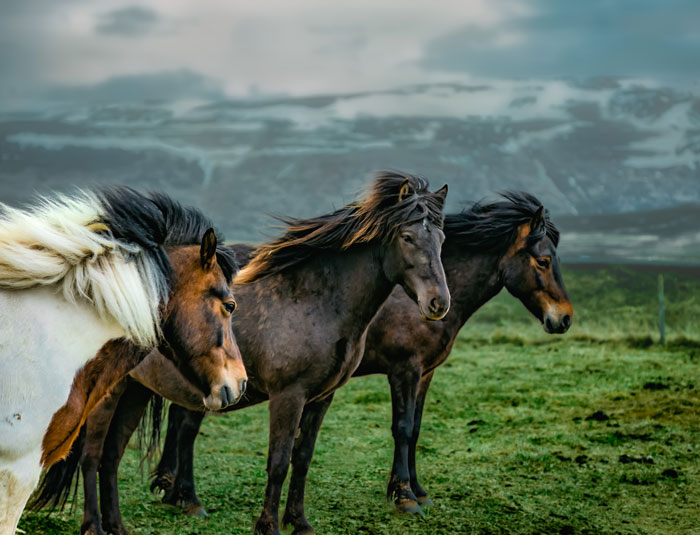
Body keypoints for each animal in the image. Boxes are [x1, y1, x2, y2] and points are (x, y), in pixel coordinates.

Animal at [32, 171, 450, 535]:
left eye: (442, 239)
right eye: (408, 237)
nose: (438, 303)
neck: (316, 300)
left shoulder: (321, 398)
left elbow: (303, 459)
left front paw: (299, 522)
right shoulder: (288, 396)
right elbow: (279, 462)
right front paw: (268, 526)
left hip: (135, 391)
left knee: (111, 458)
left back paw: (118, 527)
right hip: (109, 393)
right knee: (91, 456)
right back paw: (93, 526)